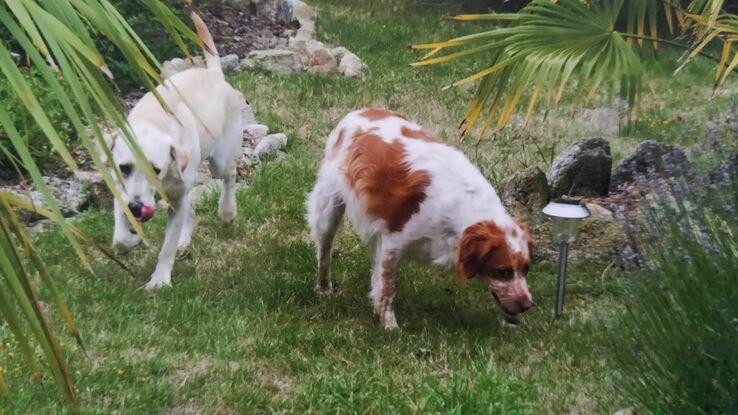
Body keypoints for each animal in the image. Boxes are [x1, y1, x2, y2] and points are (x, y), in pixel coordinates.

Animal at [112, 10, 243, 290]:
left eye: (155, 169)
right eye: (124, 168)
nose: (137, 208)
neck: (154, 121)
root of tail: (214, 74)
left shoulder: (177, 197)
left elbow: (167, 247)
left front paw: (159, 280)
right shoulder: (120, 188)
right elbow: (119, 238)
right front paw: (132, 239)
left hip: (219, 161)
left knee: (229, 176)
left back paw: (227, 212)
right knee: (191, 208)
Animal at [308, 109, 532, 330]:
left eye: (526, 269)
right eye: (503, 272)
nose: (527, 305)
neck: (464, 210)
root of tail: (358, 111)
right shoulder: (392, 243)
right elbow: (387, 289)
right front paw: (390, 326)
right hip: (328, 211)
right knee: (324, 253)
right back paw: (324, 288)